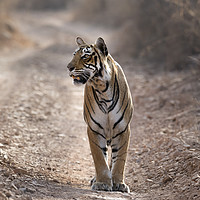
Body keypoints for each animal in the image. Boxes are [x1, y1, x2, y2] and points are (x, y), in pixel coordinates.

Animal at [67, 37, 133, 192]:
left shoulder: (123, 129)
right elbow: (99, 159)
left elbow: (120, 159)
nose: (68, 67)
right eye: (74, 55)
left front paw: (119, 184)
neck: (102, 88)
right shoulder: (94, 129)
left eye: (85, 56)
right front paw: (102, 182)